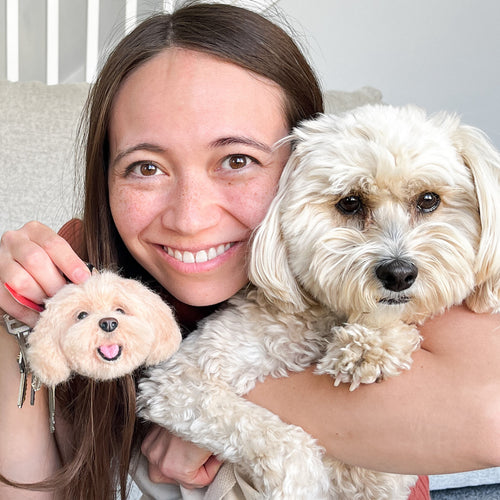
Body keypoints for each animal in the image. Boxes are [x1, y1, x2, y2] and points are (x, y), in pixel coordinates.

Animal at [137, 103, 500, 498]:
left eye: (428, 200)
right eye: (350, 202)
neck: (328, 321)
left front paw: (369, 348)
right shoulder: (180, 381)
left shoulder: (386, 478)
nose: (398, 273)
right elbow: (280, 443)